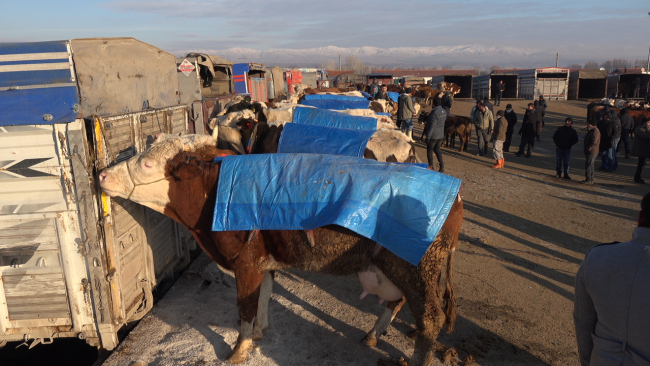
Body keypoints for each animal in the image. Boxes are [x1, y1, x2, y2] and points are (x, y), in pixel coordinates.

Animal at [97, 135, 460, 366]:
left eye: (146, 164)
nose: (101, 174)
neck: (218, 191)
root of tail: (452, 193)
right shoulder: (264, 263)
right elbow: (265, 296)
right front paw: (260, 332)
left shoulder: (246, 262)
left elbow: (245, 306)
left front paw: (239, 350)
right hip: (398, 270)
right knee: (397, 302)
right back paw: (373, 335)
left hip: (416, 270)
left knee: (430, 319)